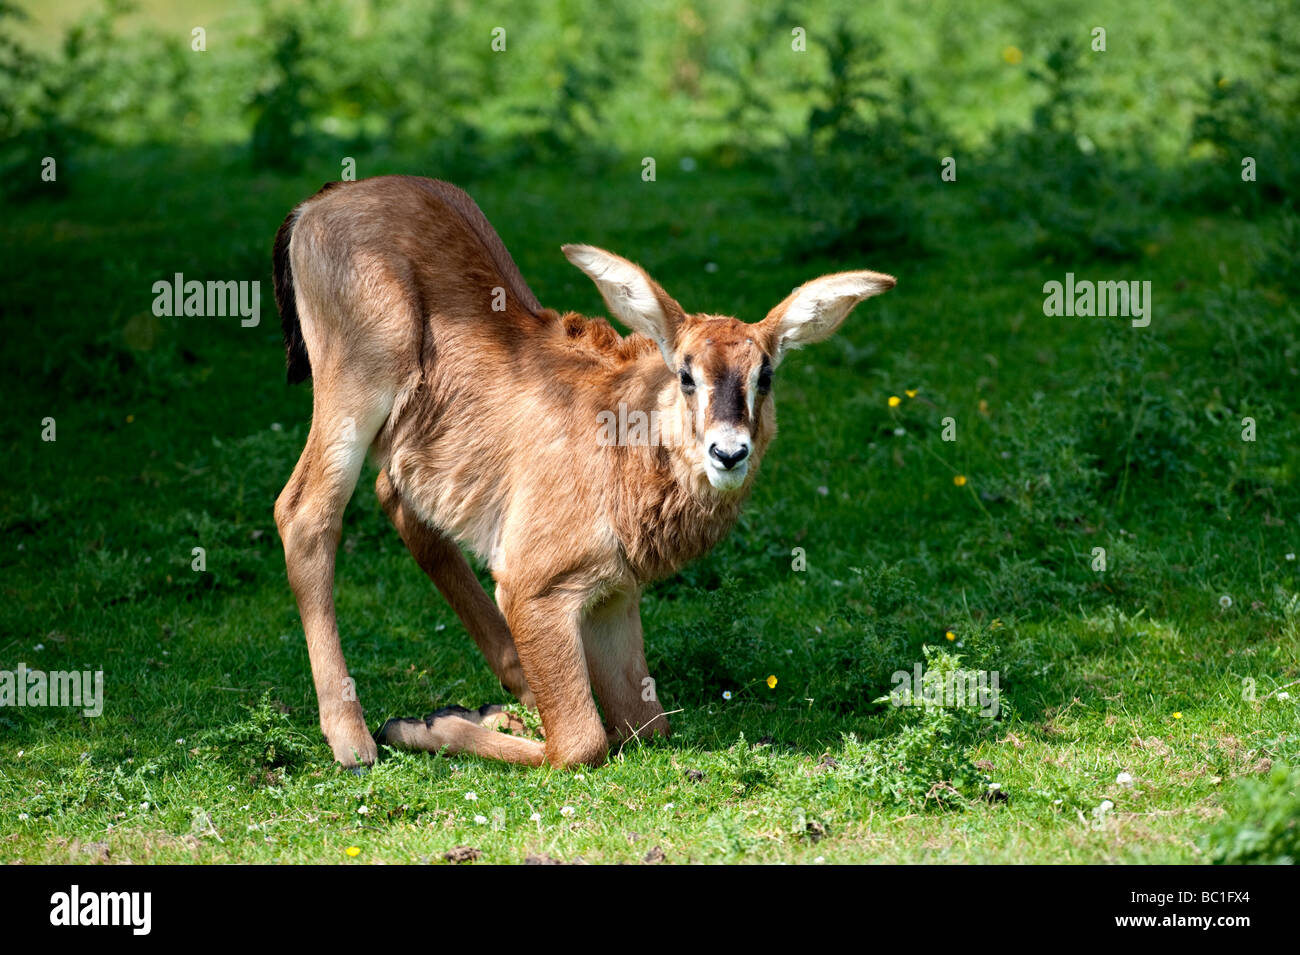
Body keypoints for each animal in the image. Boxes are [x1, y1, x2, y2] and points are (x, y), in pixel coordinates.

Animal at [273, 178, 894, 769]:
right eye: (686, 374)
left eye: (764, 376)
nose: (728, 454)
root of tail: (317, 205)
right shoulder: (535, 590)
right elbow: (581, 743)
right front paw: (424, 726)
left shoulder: (611, 598)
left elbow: (647, 727)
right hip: (356, 387)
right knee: (305, 513)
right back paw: (355, 741)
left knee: (395, 496)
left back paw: (508, 698)